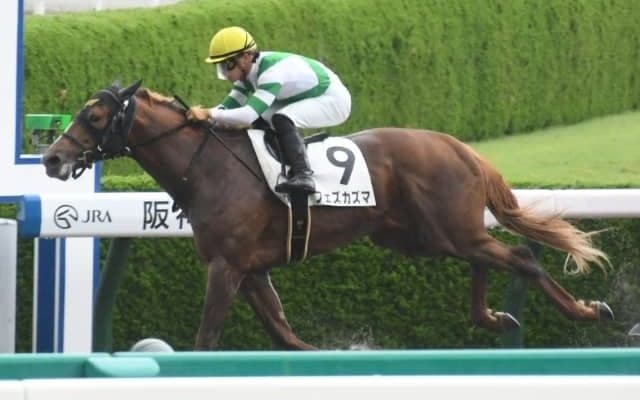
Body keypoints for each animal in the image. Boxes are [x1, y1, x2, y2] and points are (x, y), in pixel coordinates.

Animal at [42, 81, 613, 350]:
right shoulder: (250, 269)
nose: (51, 157)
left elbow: (208, 338)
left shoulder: (226, 266)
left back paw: (587, 311)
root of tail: (458, 146)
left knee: (520, 257)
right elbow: (285, 334)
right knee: (491, 257)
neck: (207, 167)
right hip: (420, 236)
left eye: (95, 115)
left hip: (443, 229)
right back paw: (494, 316)